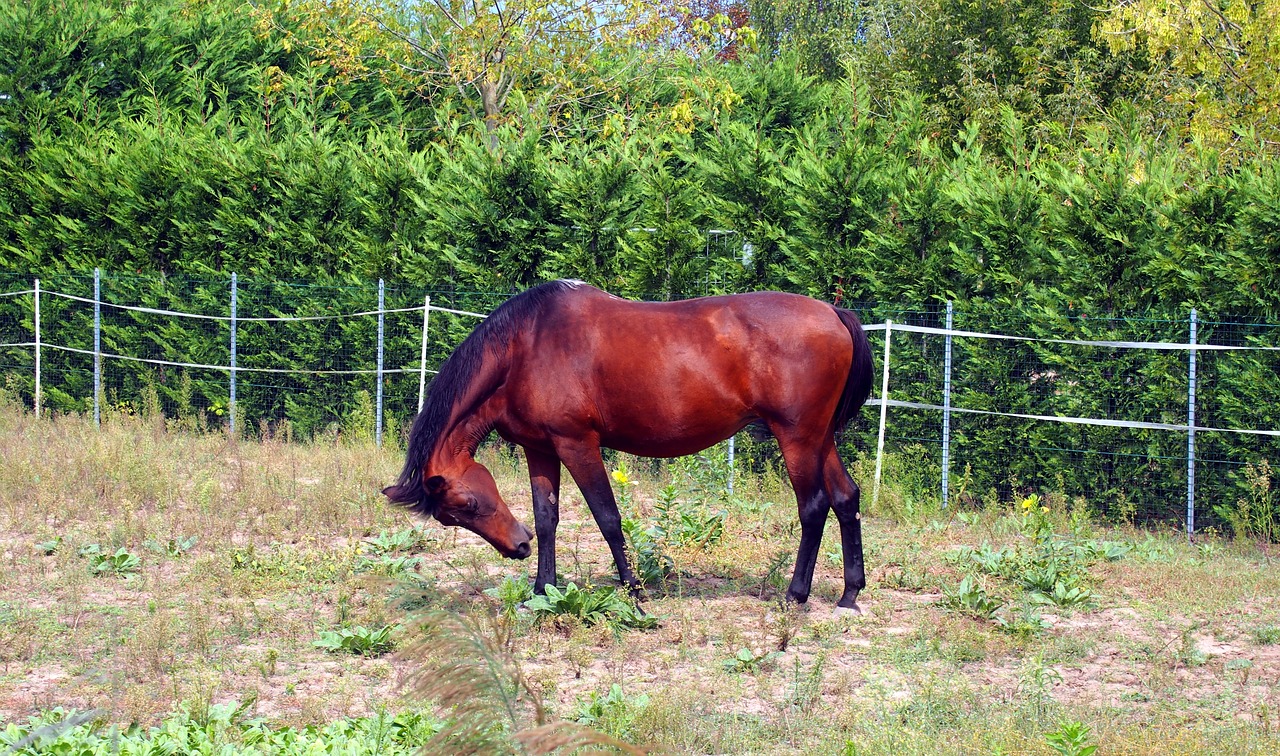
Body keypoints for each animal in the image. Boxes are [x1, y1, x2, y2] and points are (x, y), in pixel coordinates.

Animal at [384, 281, 875, 611]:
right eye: (451, 519)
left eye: (466, 505)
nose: (516, 547)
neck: (526, 346)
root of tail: (834, 313)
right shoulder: (540, 449)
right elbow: (548, 518)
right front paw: (543, 590)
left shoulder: (577, 444)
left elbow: (607, 518)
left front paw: (635, 591)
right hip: (820, 438)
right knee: (845, 497)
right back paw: (849, 593)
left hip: (797, 437)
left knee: (813, 506)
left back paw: (796, 595)